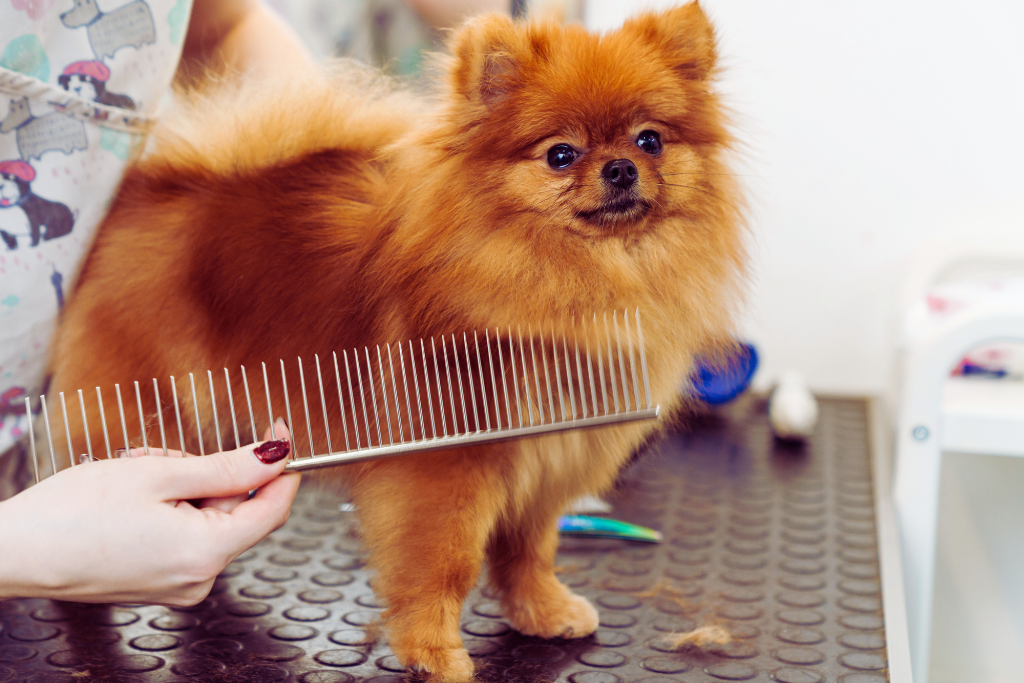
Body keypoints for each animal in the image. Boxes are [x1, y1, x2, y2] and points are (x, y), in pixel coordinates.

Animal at [50, 5, 745, 680]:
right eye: (561, 155)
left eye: (650, 139)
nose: (622, 167)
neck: (579, 279)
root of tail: (156, 187)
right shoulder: (444, 473)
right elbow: (444, 563)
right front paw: (432, 652)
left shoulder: (546, 465)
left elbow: (528, 551)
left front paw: (541, 611)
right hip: (143, 409)